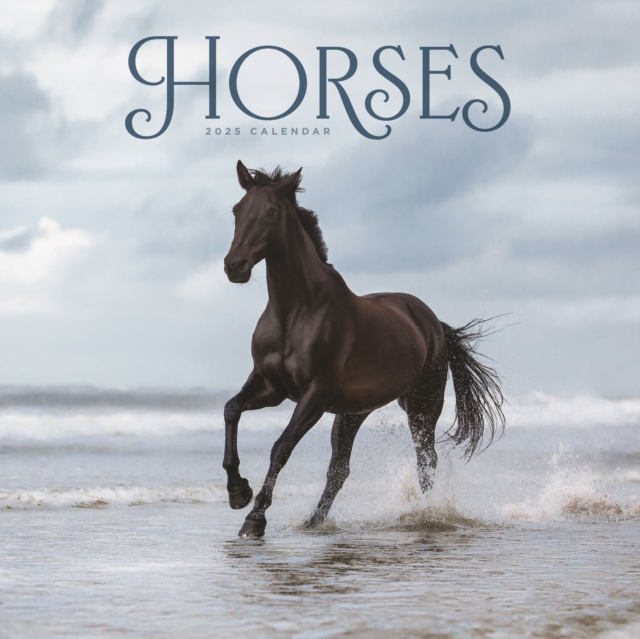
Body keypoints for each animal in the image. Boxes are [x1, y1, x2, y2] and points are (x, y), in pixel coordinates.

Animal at [222, 160, 504, 537]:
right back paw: (314, 521)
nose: (234, 266)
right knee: (340, 469)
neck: (295, 310)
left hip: (422, 407)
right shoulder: (271, 386)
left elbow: (280, 447)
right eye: (237, 210)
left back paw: (428, 516)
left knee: (426, 463)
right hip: (352, 413)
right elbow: (231, 410)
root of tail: (434, 324)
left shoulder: (315, 393)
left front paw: (254, 519)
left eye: (270, 211)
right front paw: (238, 492)